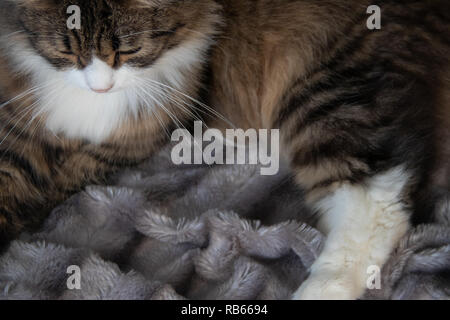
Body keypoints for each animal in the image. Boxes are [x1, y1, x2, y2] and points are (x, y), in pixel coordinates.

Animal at [0, 0, 448, 300]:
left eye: (129, 51)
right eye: (65, 51)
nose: (100, 87)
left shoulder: (124, 143)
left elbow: (51, 184)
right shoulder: (18, 129)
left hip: (324, 93)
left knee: (377, 207)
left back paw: (320, 289)